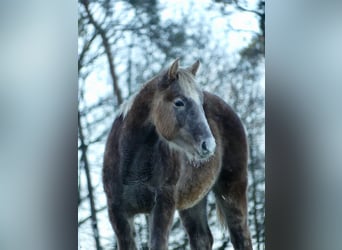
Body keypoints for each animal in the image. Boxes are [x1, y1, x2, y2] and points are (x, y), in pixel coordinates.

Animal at [103, 59, 252, 250]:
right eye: (179, 102)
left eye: (201, 103)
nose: (209, 145)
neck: (132, 162)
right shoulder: (118, 213)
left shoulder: (163, 206)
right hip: (192, 201)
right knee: (202, 239)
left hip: (232, 190)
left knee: (241, 236)